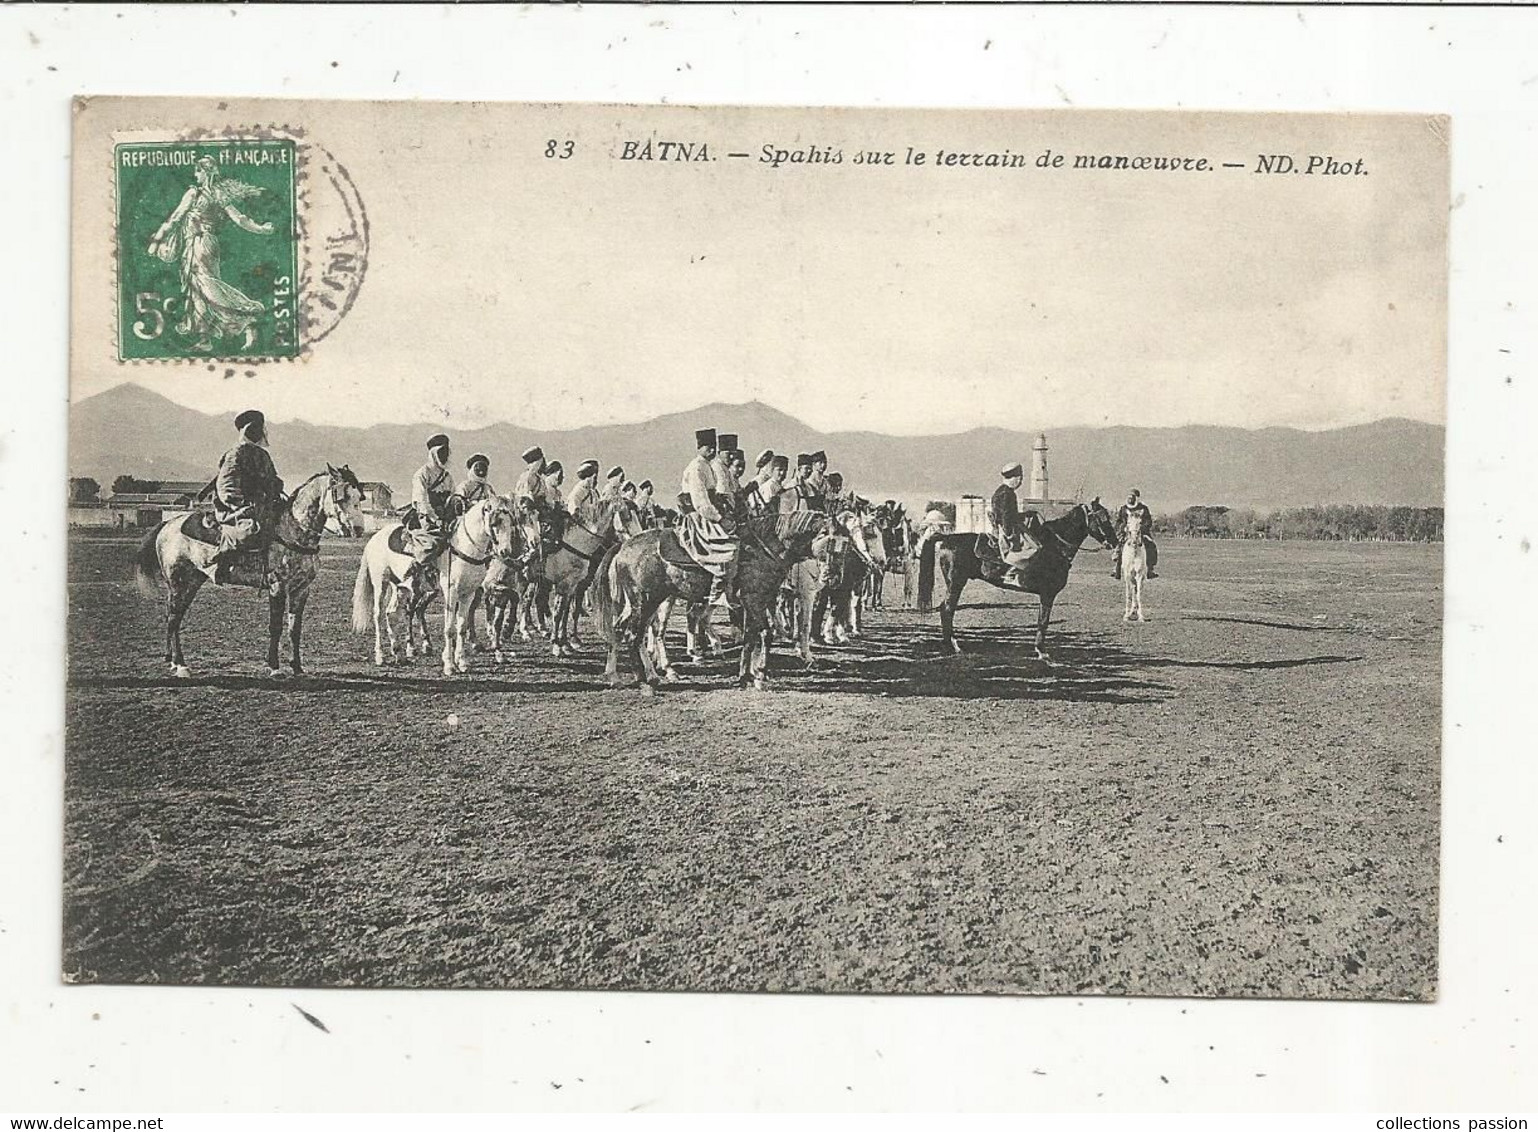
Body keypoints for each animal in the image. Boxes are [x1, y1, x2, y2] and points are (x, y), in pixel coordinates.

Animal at [590, 510, 830, 689]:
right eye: (830, 538)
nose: (829, 575)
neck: (766, 549)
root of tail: (623, 546)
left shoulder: (755, 603)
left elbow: (752, 637)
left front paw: (748, 675)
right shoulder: (756, 600)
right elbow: (769, 633)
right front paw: (760, 675)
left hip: (644, 603)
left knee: (623, 630)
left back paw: (623, 675)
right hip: (646, 601)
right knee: (637, 634)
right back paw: (646, 679)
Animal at [910, 498, 1119, 664]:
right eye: (1102, 518)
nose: (1115, 542)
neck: (1054, 547)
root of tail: (946, 538)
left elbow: (1042, 621)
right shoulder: (1048, 594)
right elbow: (1043, 621)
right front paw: (1042, 652)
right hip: (956, 583)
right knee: (947, 609)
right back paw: (953, 646)